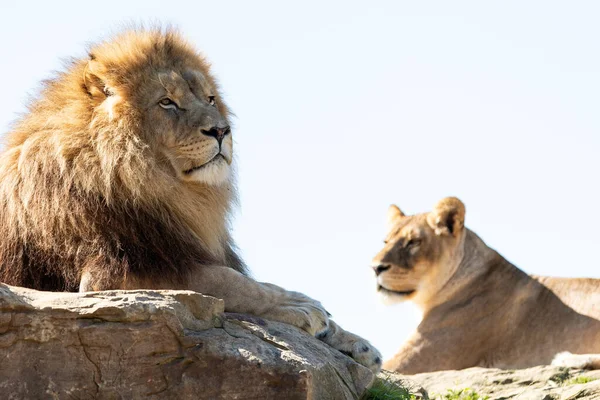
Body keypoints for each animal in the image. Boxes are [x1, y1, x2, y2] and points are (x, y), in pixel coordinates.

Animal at [0, 27, 382, 372]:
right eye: (167, 102)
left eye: (210, 99)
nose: (221, 130)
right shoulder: (110, 277)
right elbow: (226, 281)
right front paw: (297, 305)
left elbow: (237, 277)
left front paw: (353, 340)